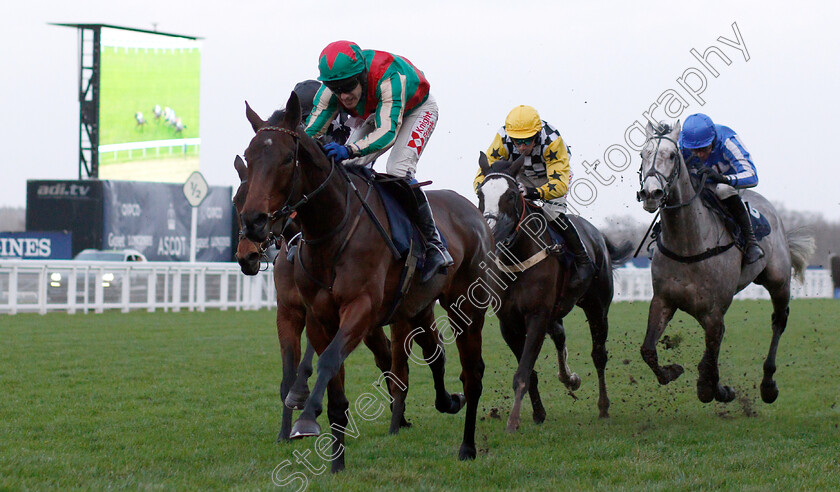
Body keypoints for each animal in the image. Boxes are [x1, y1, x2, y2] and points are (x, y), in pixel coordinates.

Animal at [231, 155, 402, 442]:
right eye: (236, 201)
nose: (247, 257)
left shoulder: (318, 308)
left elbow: (309, 359)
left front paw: (301, 394)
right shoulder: (289, 309)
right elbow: (287, 374)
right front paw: (284, 432)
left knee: (385, 353)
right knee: (384, 352)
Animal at [480, 153, 632, 430]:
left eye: (511, 195)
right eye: (480, 193)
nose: (492, 232)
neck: (517, 259)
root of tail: (599, 236)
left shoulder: (537, 316)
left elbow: (523, 371)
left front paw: (513, 421)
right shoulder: (508, 322)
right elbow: (529, 372)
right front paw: (538, 413)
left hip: (597, 307)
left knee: (599, 355)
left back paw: (603, 406)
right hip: (556, 312)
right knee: (560, 336)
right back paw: (568, 378)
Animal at [636, 120, 812, 404]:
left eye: (672, 155)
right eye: (643, 154)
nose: (651, 193)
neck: (688, 243)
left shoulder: (714, 312)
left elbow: (710, 365)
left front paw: (717, 390)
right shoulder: (663, 300)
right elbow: (648, 350)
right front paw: (672, 371)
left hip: (779, 281)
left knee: (779, 321)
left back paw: (768, 384)